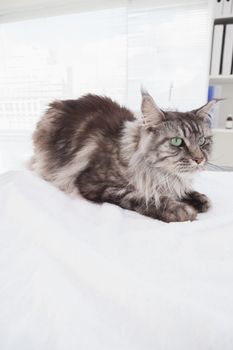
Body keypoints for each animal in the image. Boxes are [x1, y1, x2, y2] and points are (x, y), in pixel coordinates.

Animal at [31, 89, 215, 223]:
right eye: (177, 141)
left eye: (202, 141)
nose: (199, 159)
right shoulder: (93, 183)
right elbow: (141, 196)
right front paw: (179, 209)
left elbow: (186, 191)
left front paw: (197, 198)